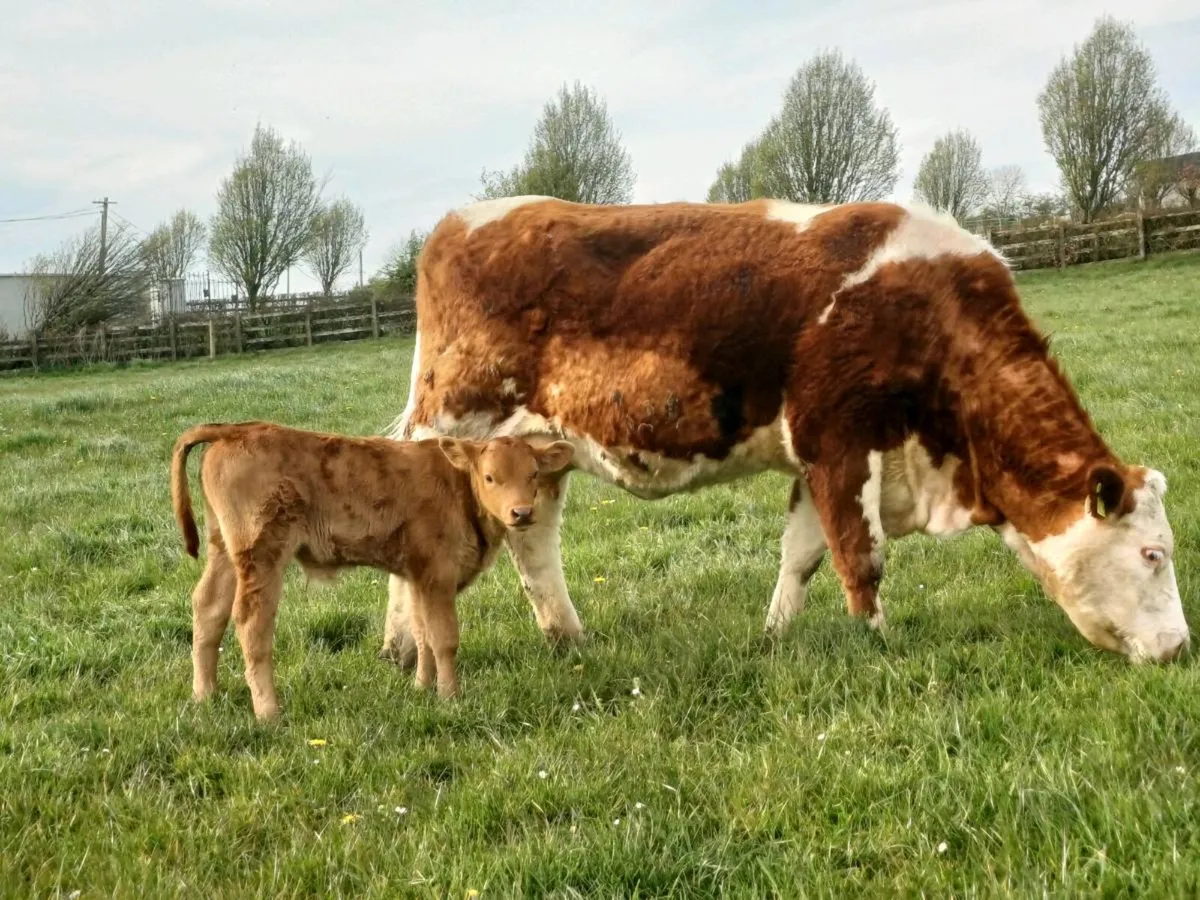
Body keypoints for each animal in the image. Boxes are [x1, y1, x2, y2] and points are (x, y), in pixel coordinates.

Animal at [170, 421, 574, 719]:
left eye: (534, 474)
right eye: (490, 477)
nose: (522, 513)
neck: (457, 485)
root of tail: (235, 429)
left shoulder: (417, 576)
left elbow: (423, 635)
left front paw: (422, 688)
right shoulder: (438, 576)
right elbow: (444, 639)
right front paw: (450, 696)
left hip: (224, 552)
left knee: (208, 608)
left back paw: (205, 695)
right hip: (262, 557)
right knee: (251, 624)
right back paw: (269, 712)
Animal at [378, 195, 1188, 668]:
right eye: (1152, 553)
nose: (1181, 647)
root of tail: (459, 221)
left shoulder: (816, 460)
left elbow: (801, 556)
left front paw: (774, 637)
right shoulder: (840, 439)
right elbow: (860, 557)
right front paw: (880, 645)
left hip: (539, 455)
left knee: (534, 543)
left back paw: (560, 639)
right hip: (456, 423)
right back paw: (406, 645)